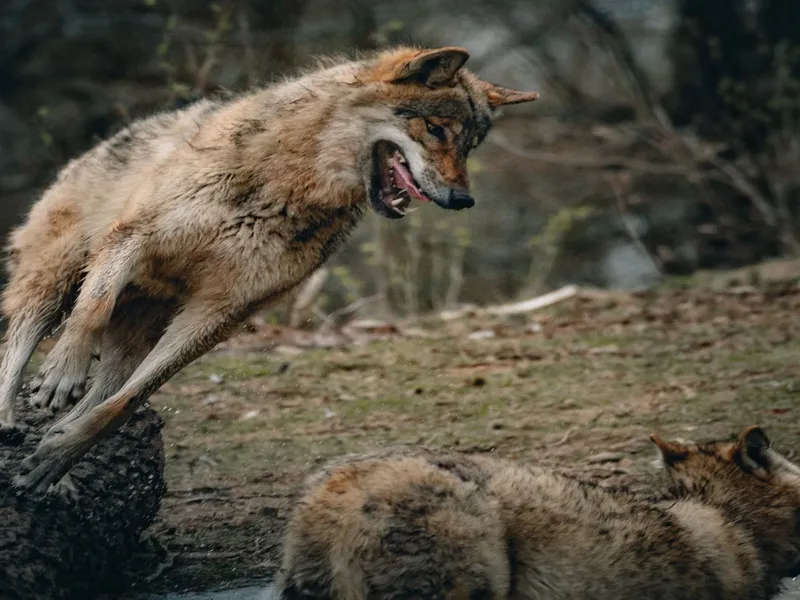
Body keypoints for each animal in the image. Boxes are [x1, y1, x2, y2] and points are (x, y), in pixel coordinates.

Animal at [0, 44, 540, 490]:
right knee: (17, 347)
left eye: (470, 146)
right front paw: (61, 376)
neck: (287, 184)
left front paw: (57, 456)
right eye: (436, 129)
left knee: (105, 391)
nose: (463, 200)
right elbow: (91, 310)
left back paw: (59, 455)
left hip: (136, 335)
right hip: (53, 283)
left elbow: (124, 404)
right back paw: (12, 420)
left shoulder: (221, 313)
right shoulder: (132, 239)